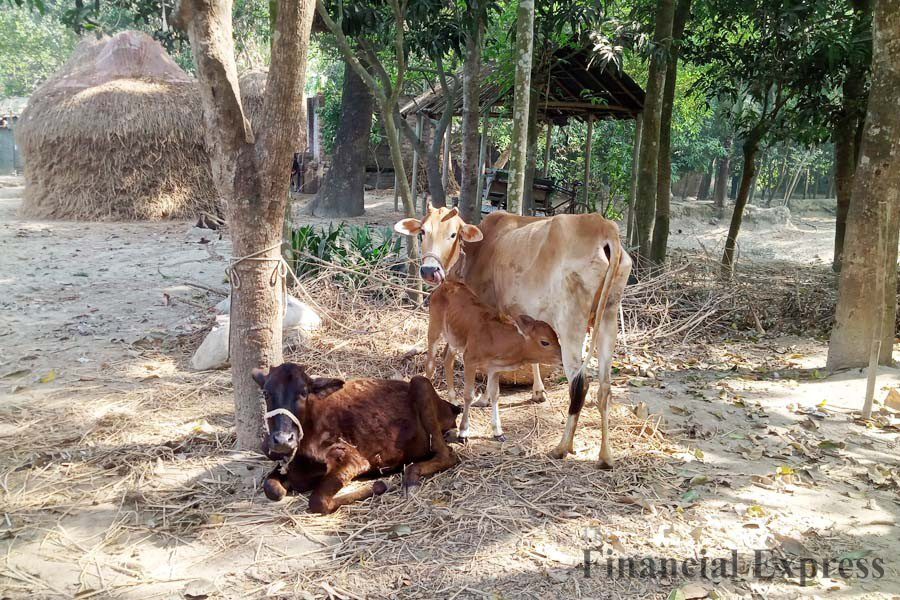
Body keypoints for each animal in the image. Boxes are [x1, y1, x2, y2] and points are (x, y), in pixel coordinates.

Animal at [253, 363, 461, 514]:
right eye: (266, 393)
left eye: (303, 392)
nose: (282, 440)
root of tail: (449, 406)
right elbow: (272, 489)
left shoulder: (353, 458)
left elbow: (318, 501)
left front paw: (378, 485)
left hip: (421, 384)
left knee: (448, 455)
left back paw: (411, 480)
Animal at [425, 280, 562, 442]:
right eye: (545, 342)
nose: (562, 358)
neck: (495, 338)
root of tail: (445, 283)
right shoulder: (469, 360)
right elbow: (468, 395)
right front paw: (463, 432)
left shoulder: (494, 368)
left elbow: (495, 395)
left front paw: (498, 431)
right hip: (434, 329)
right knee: (430, 365)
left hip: (454, 339)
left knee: (447, 360)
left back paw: (453, 401)